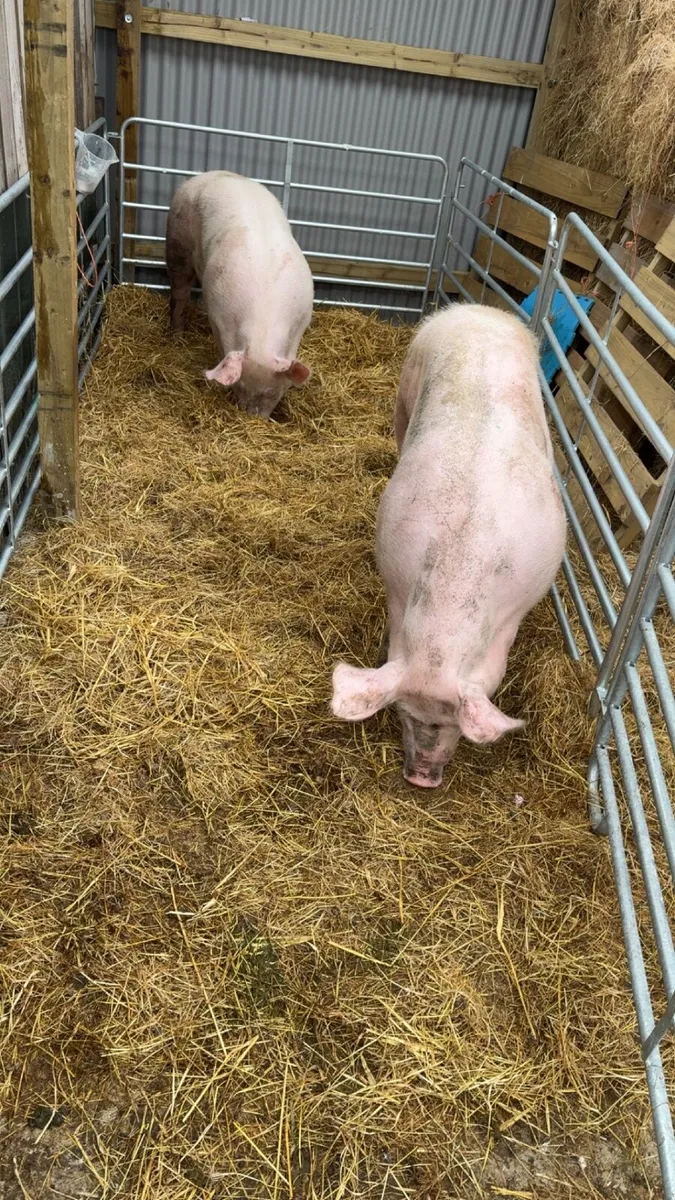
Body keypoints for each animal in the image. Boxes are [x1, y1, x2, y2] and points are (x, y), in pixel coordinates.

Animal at [166, 170, 313, 417]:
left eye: (272, 392)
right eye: (240, 387)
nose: (253, 417)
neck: (263, 324)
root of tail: (209, 174)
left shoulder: (301, 321)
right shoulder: (217, 313)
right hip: (177, 241)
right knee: (179, 293)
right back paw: (177, 337)